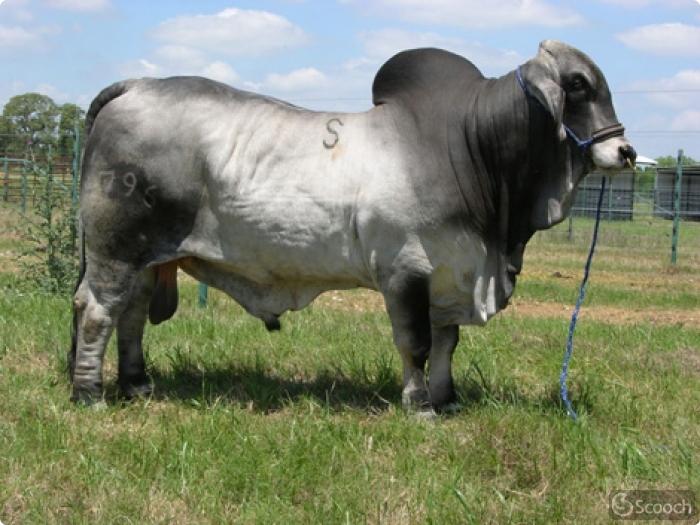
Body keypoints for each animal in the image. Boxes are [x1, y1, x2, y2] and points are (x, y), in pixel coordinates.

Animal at [69, 40, 635, 413]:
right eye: (578, 85)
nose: (625, 151)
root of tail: (134, 86)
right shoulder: (406, 269)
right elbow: (417, 343)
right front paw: (419, 406)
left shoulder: (451, 272)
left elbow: (447, 343)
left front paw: (447, 399)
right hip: (115, 249)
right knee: (98, 311)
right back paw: (88, 395)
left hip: (147, 257)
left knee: (130, 314)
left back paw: (136, 385)